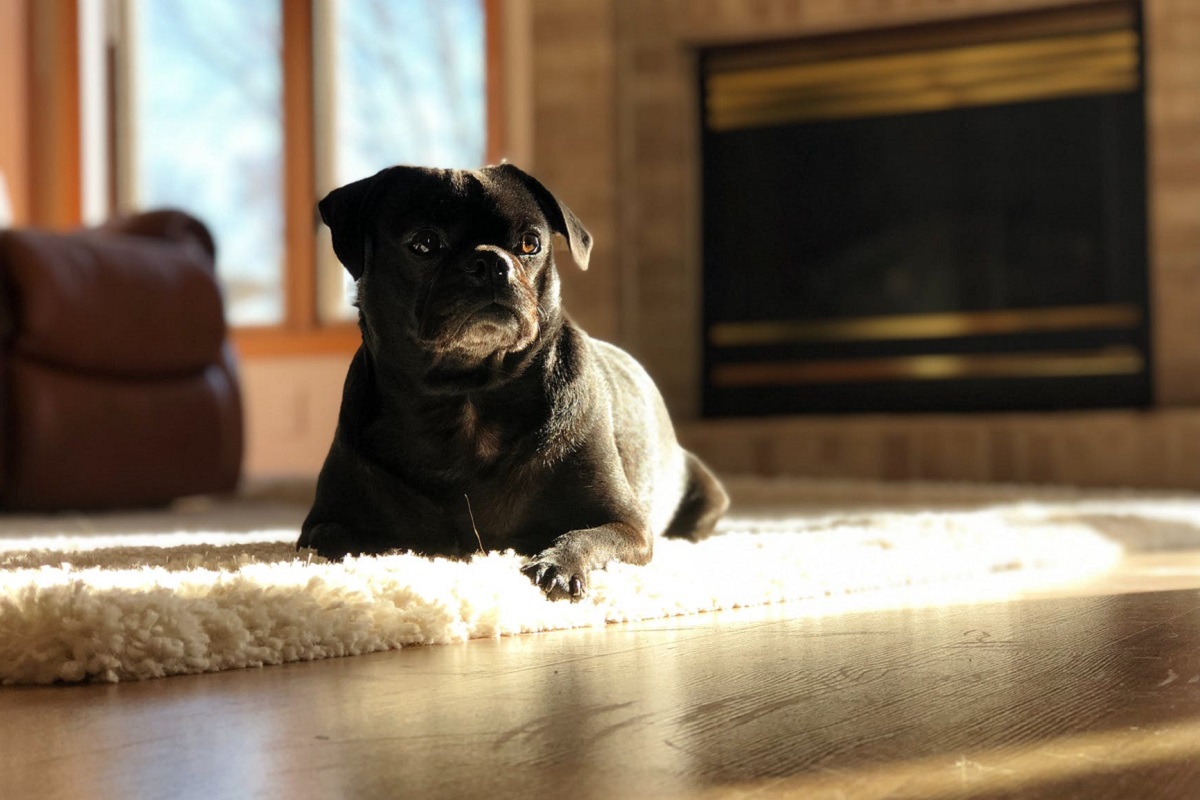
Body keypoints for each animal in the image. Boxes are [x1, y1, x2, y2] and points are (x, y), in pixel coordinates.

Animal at [300, 164, 729, 599]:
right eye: (424, 243)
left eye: (530, 244)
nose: (491, 261)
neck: (468, 392)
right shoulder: (319, 526)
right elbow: (348, 537)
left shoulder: (628, 526)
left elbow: (583, 537)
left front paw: (555, 565)